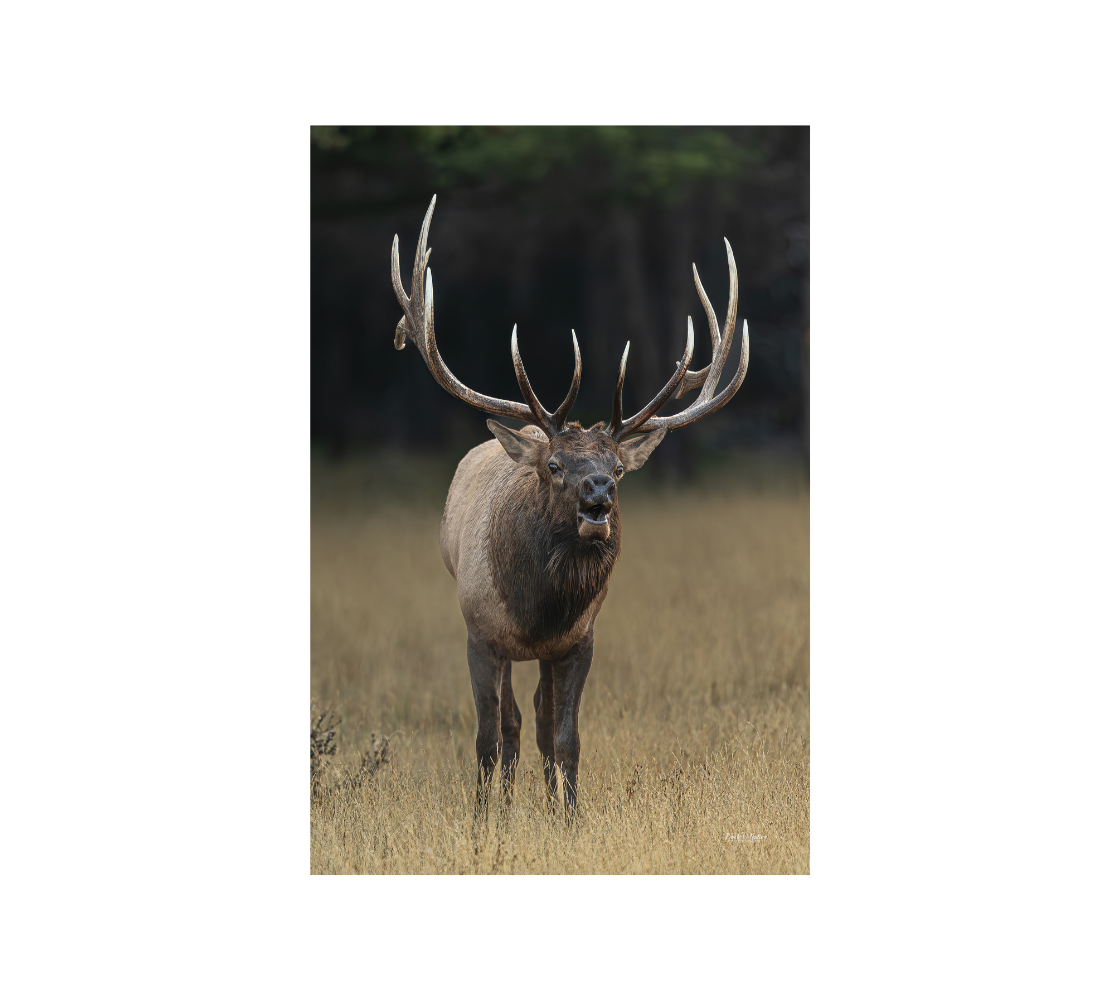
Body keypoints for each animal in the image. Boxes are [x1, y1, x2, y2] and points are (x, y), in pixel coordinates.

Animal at [390, 195, 749, 813]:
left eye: (620, 469)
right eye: (555, 467)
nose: (597, 494)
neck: (537, 611)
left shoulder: (579, 640)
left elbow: (564, 737)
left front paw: (570, 816)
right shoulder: (479, 631)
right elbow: (488, 738)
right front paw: (485, 818)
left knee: (534, 719)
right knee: (509, 724)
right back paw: (506, 802)